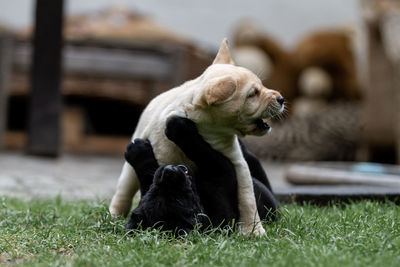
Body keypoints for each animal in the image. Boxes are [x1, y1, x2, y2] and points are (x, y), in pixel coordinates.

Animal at [110, 38, 284, 237]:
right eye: (253, 94)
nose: (281, 99)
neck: (209, 131)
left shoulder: (237, 163)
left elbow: (247, 198)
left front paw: (253, 230)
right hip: (131, 162)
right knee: (125, 187)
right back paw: (115, 214)